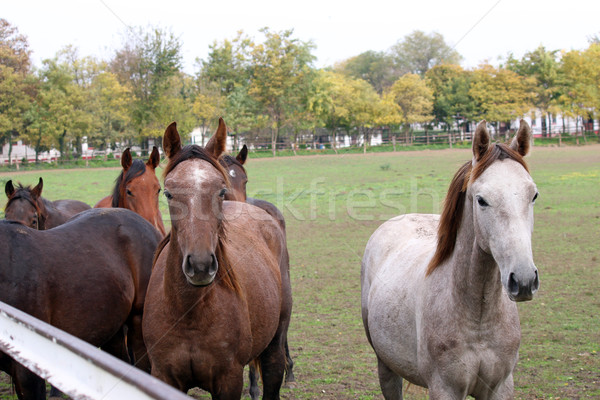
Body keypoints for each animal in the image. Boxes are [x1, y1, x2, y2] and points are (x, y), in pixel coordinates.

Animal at [364, 120, 540, 398]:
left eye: (533, 195)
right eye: (482, 200)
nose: (523, 280)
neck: (479, 318)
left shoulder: (500, 387)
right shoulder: (445, 389)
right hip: (387, 367)